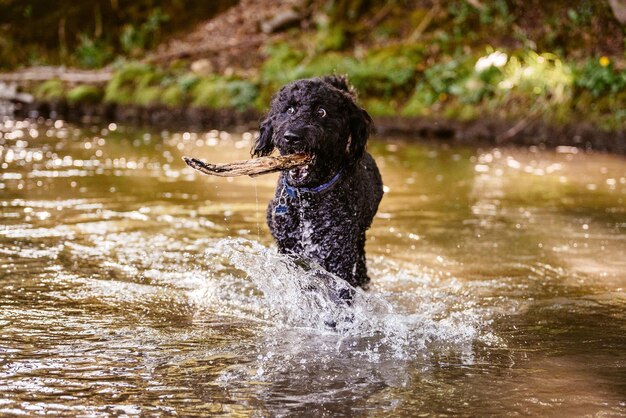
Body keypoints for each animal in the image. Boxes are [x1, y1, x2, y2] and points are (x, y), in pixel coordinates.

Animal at [251, 76, 382, 290]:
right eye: (290, 110)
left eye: (321, 112)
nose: (292, 137)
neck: (307, 197)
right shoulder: (289, 249)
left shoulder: (338, 254)